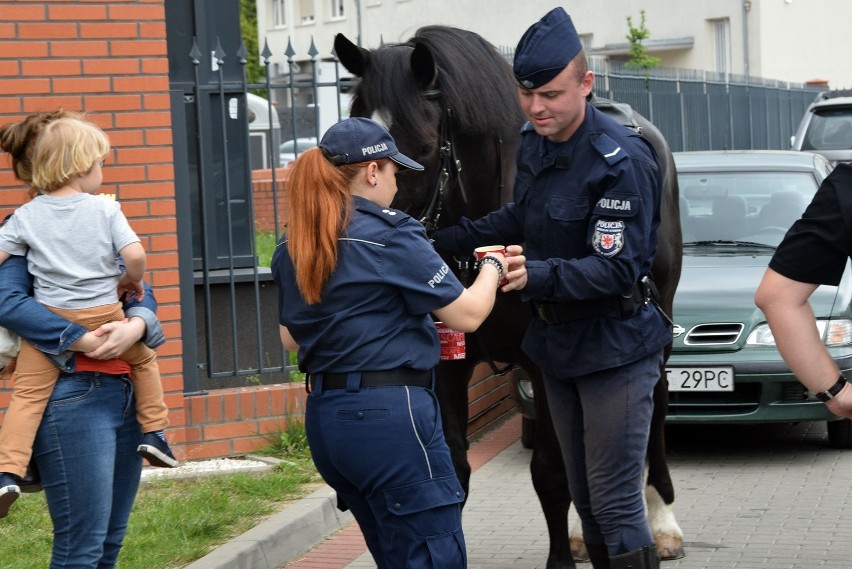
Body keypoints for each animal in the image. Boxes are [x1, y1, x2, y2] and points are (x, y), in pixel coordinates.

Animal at [334, 26, 684, 568]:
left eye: (420, 148)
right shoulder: (447, 366)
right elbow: (455, 469)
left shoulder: (544, 364)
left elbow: (551, 472)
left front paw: (560, 559)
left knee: (655, 406)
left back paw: (661, 519)